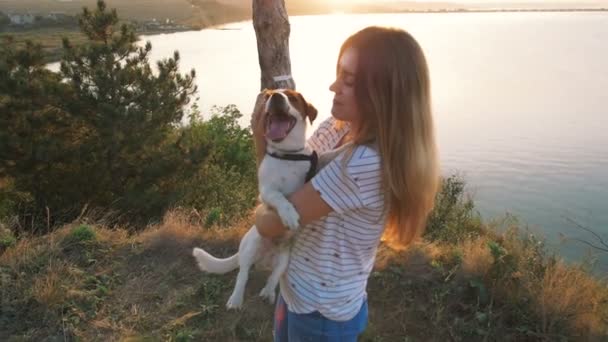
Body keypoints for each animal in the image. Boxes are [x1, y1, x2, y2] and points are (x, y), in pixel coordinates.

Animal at [192, 89, 320, 310]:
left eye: (292, 97)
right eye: (268, 96)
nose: (276, 97)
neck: (287, 154)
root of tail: (264, 260)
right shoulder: (266, 191)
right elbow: (279, 196)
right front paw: (289, 214)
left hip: (284, 258)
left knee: (274, 276)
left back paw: (268, 292)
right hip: (252, 245)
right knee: (242, 275)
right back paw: (236, 299)